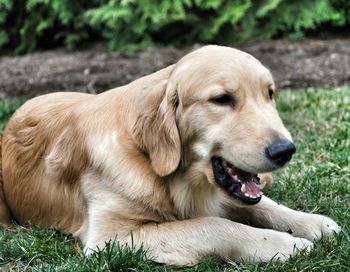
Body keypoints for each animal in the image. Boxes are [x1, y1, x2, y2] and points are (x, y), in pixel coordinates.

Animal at [0, 45, 340, 264]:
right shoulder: (112, 239)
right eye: (222, 99)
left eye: (269, 94)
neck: (152, 161)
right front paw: (288, 245)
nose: (286, 150)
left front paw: (315, 224)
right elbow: (215, 226)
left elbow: (267, 206)